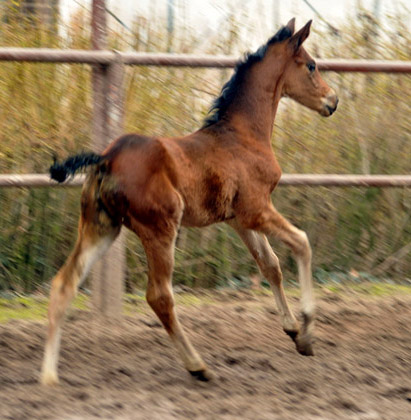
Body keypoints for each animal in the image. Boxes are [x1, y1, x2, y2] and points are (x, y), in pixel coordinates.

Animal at [41, 20, 338, 388]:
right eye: (311, 65)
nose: (333, 100)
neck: (242, 134)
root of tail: (106, 159)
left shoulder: (239, 219)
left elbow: (270, 265)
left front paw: (294, 332)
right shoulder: (257, 209)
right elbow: (302, 243)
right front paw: (307, 329)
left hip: (101, 228)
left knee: (63, 284)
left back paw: (49, 376)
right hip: (160, 229)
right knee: (159, 296)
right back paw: (198, 366)